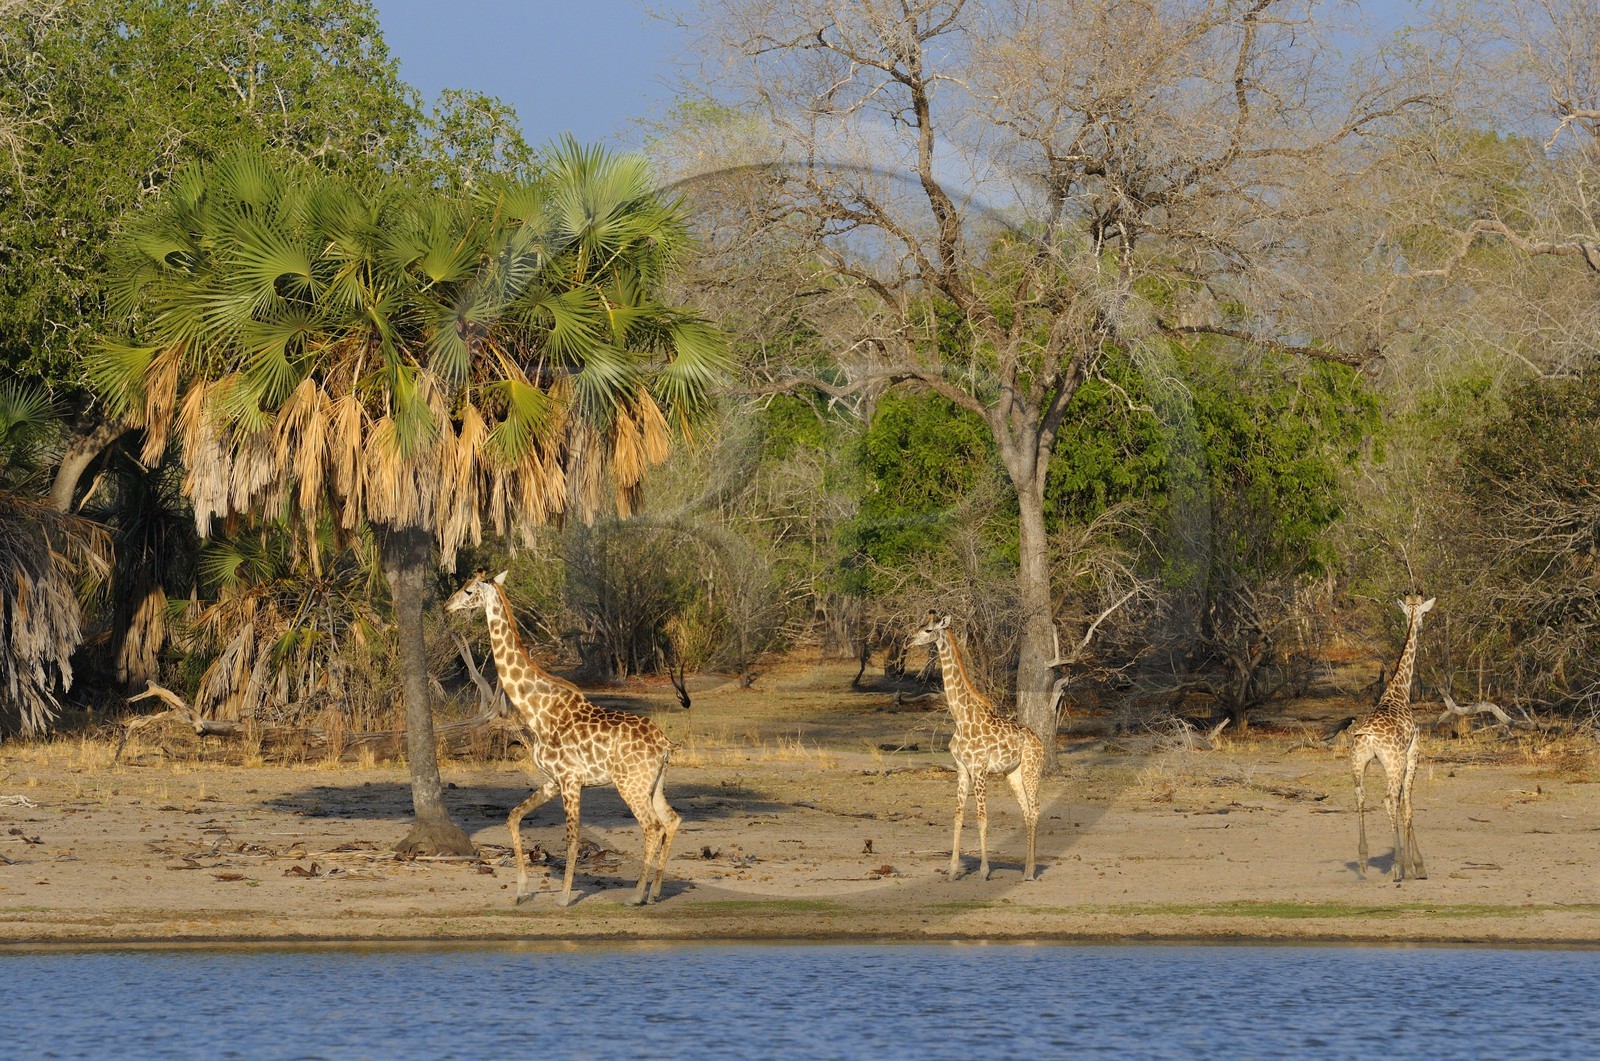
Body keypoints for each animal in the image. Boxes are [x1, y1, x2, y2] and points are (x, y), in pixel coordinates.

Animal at [445, 571, 681, 907]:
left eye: (468, 591)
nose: (447, 607)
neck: (536, 710)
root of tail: (664, 744)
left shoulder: (570, 780)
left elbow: (572, 838)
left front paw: (565, 897)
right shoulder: (552, 781)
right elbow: (513, 817)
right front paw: (521, 890)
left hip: (630, 784)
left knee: (652, 826)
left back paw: (636, 895)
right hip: (654, 783)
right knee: (671, 819)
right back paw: (655, 891)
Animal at [905, 613, 1044, 881]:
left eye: (928, 630)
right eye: (918, 626)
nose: (908, 641)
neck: (961, 718)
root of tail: (1040, 742)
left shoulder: (979, 768)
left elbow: (982, 818)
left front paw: (984, 870)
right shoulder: (961, 768)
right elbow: (958, 816)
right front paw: (951, 871)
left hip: (1032, 770)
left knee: (1035, 810)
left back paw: (1031, 872)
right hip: (1012, 773)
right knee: (1026, 811)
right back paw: (1026, 869)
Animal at [1350, 593, 1434, 883]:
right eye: (1423, 614)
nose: (1422, 625)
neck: (1400, 691)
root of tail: (1367, 736)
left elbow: (1401, 803)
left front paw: (1411, 863)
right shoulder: (1413, 753)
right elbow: (1406, 804)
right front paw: (1415, 865)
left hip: (1357, 761)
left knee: (1360, 793)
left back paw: (1363, 860)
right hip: (1394, 762)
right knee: (1389, 799)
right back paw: (1397, 867)